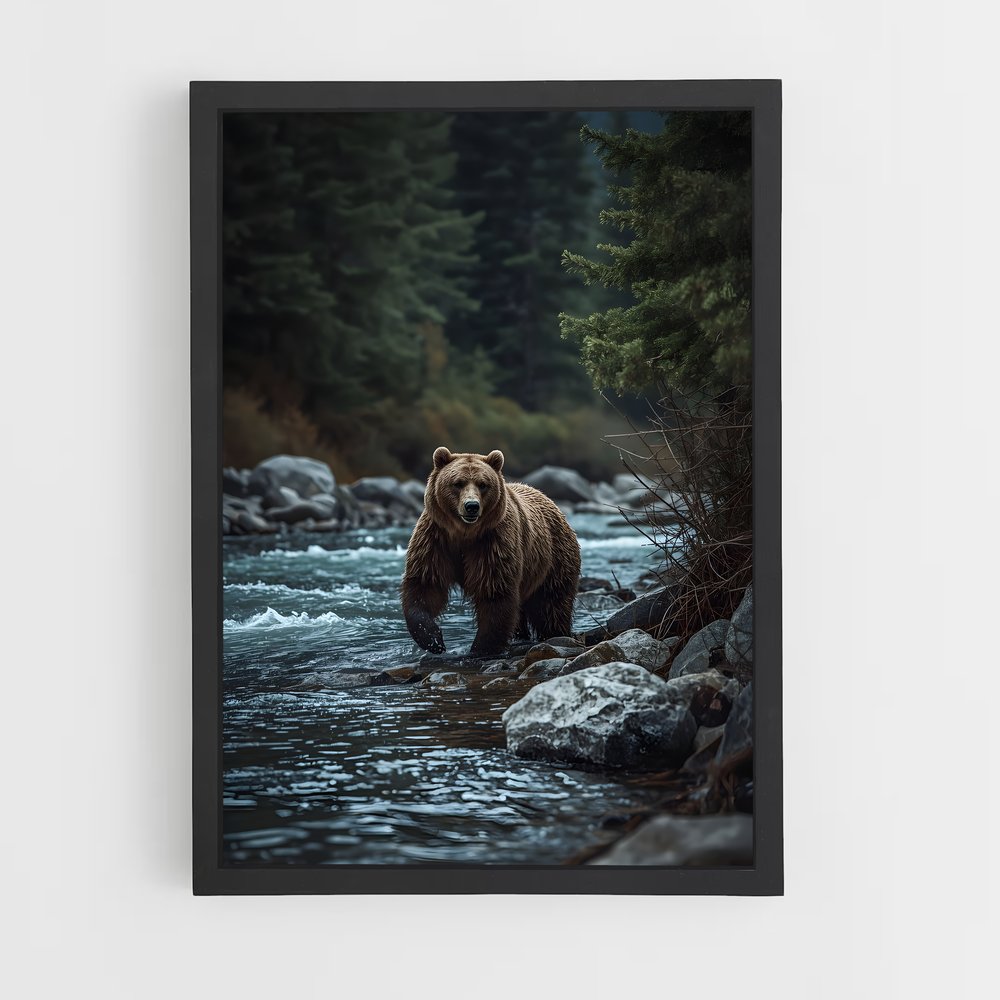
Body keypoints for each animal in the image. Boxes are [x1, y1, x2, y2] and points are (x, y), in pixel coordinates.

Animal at [401, 447, 581, 656]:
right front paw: (433, 639)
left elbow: (495, 593)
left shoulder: (493, 543)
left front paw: (481, 648)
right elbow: (425, 585)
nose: (471, 506)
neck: (464, 534)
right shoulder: (436, 540)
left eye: (483, 484)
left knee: (551, 605)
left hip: (554, 559)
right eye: (458, 483)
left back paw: (556, 634)